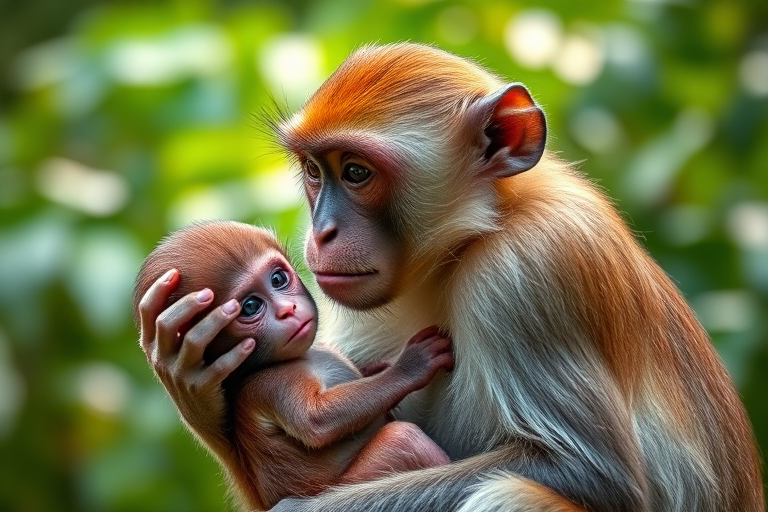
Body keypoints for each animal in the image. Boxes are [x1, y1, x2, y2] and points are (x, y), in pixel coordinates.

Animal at [132, 220, 452, 511]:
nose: (288, 310)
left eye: (278, 279)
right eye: (250, 307)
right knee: (403, 439)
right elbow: (315, 420)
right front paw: (411, 364)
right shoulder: (272, 380)